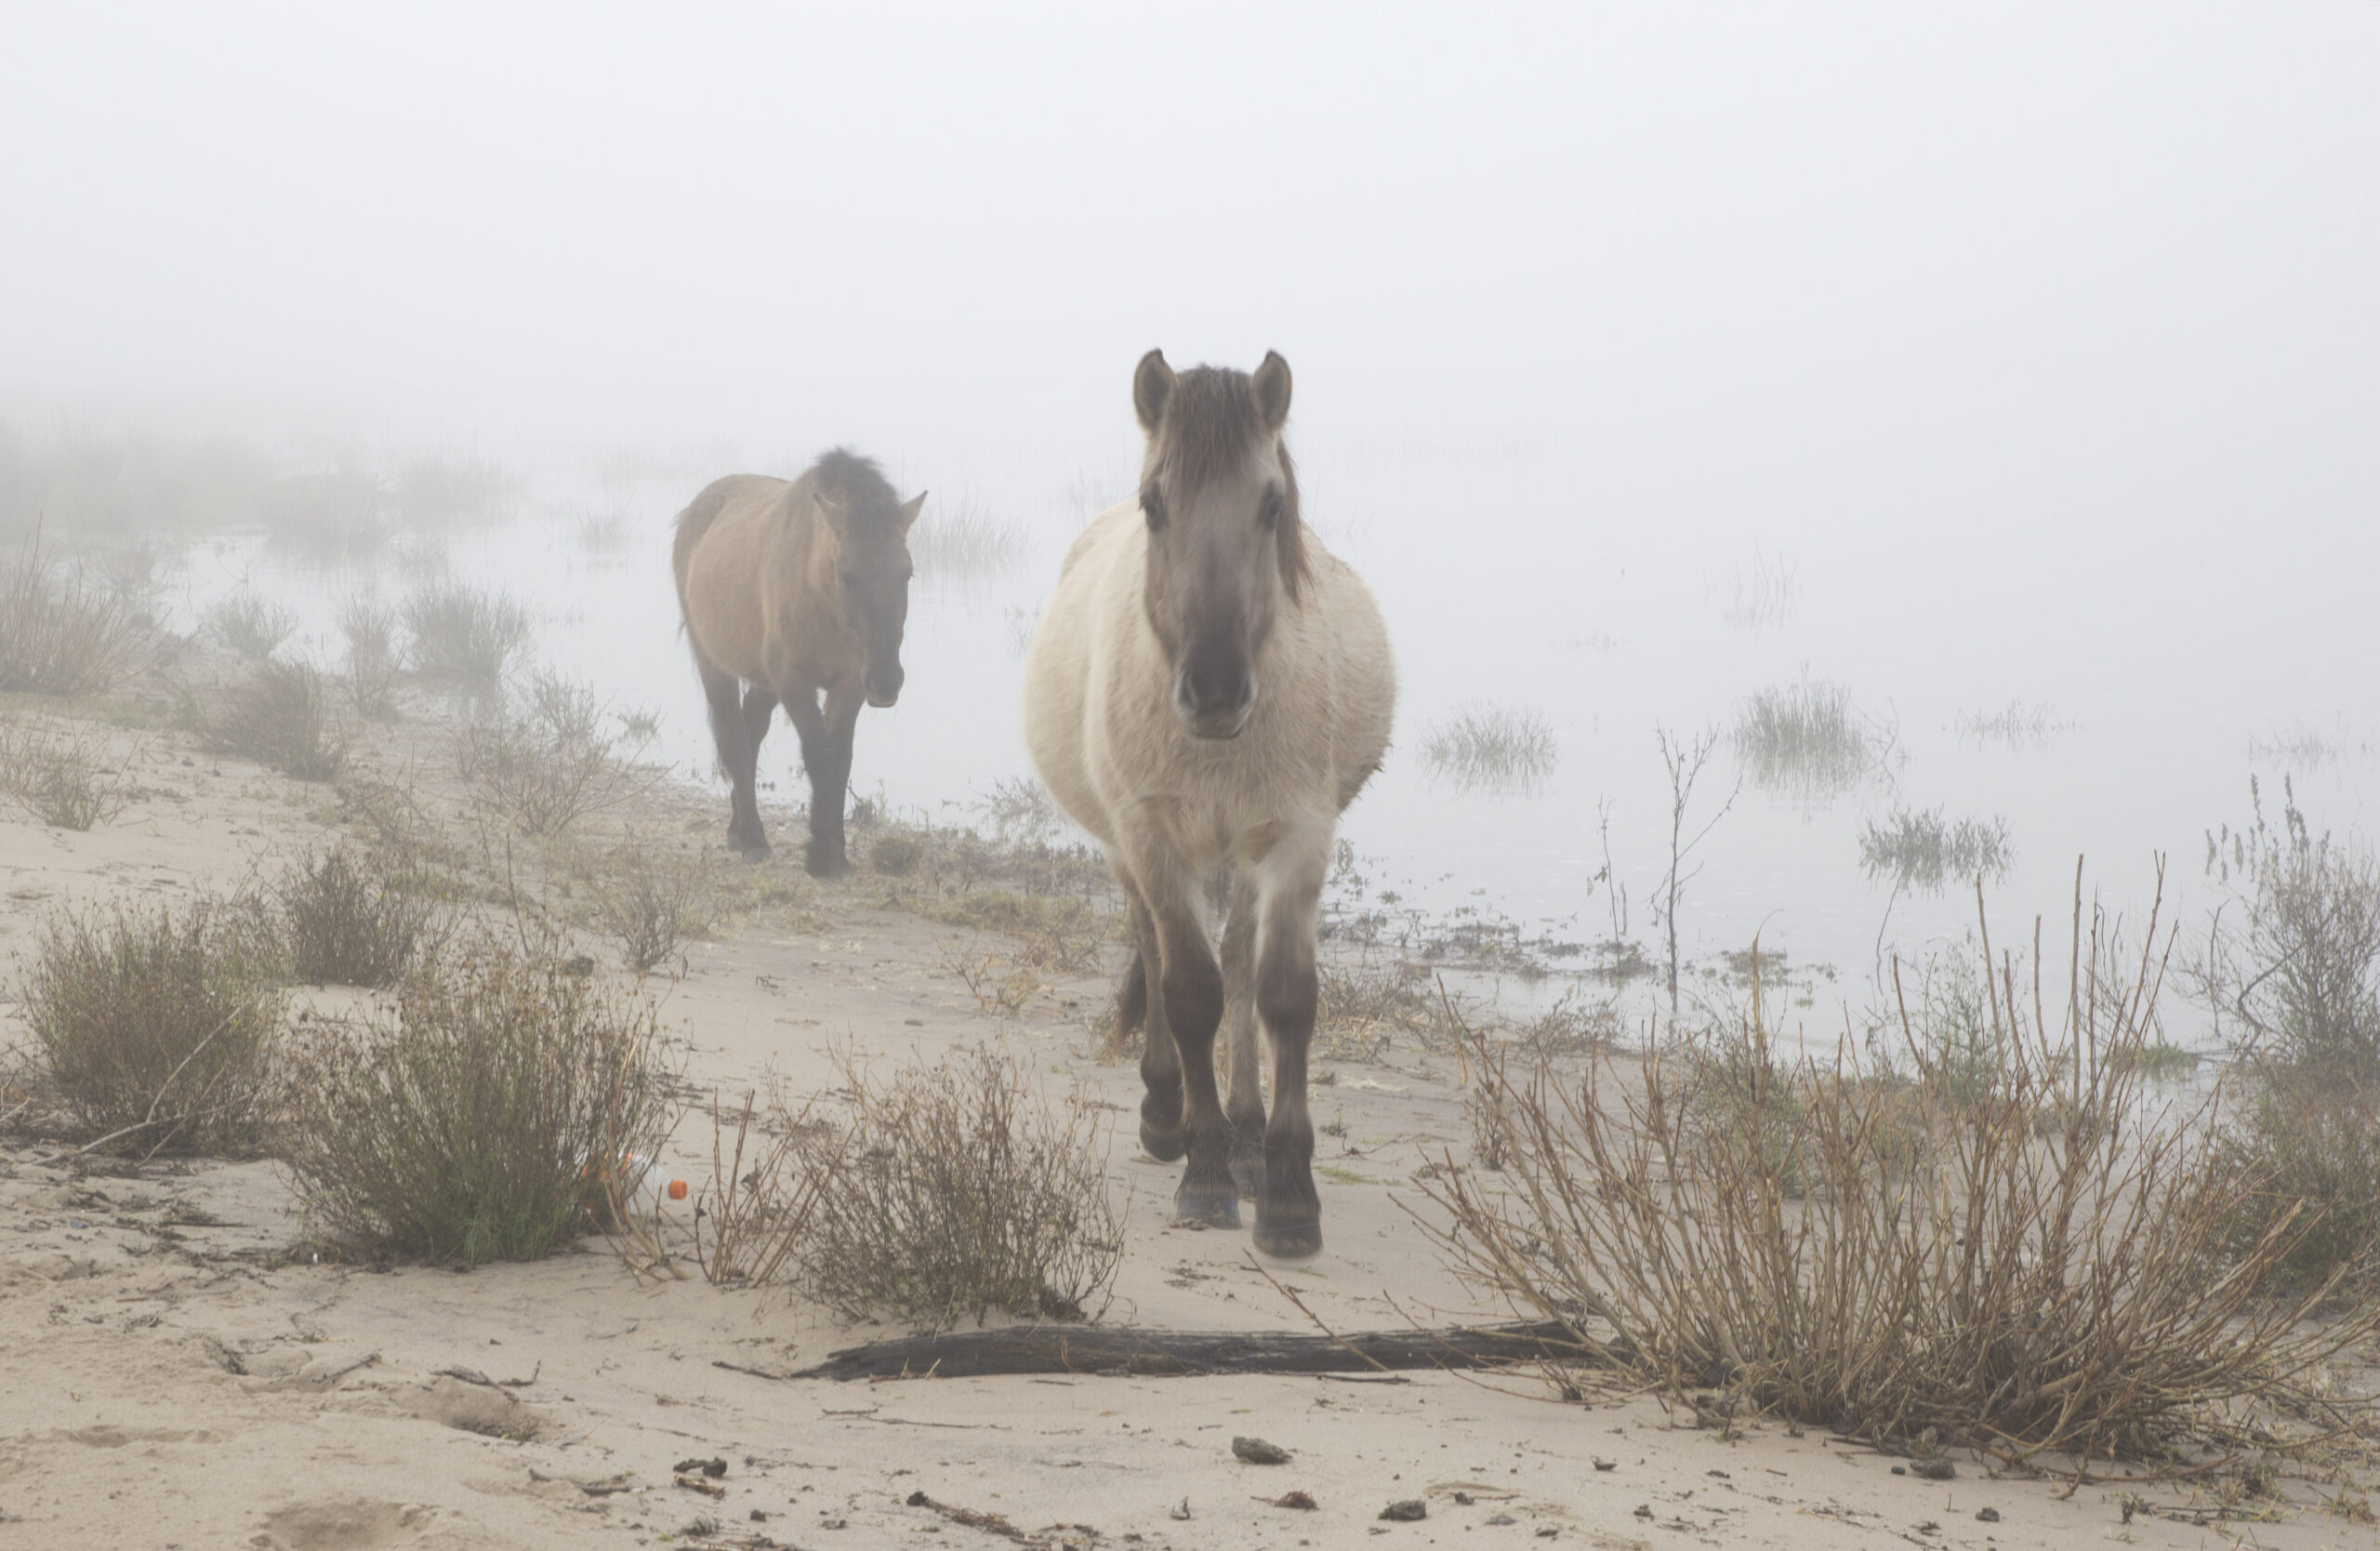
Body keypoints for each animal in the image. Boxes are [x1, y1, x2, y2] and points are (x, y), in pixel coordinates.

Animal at [671, 449, 925, 876]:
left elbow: (840, 759)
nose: (886, 682)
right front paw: (821, 854)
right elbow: (819, 755)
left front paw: (836, 851)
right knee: (736, 738)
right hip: (714, 664)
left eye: (906, 574)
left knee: (752, 732)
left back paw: (738, 829)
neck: (819, 596)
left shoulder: (848, 687)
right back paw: (754, 839)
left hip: (763, 680)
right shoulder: (795, 683)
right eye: (847, 576)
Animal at [1023, 350, 1394, 1257]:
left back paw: (1246, 1131)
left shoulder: (1297, 840)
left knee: (1241, 965)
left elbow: (1283, 996)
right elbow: (1189, 992)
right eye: (1156, 503)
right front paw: (1206, 1174)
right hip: (1129, 849)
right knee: (1155, 951)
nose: (1218, 690)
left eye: (1272, 504)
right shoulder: (1152, 839)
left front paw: (1287, 1193)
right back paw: (1170, 1117)